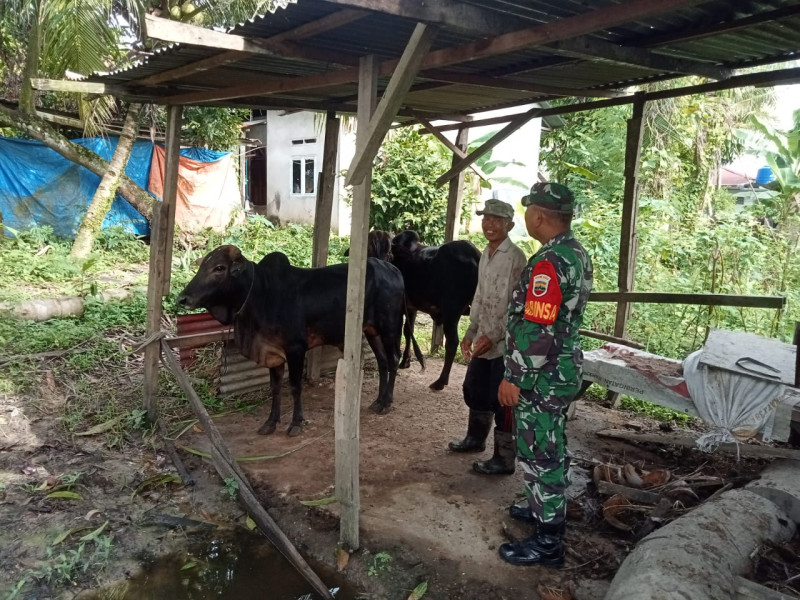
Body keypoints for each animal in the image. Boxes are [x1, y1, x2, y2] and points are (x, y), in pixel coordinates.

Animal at [179, 244, 410, 436]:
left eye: (219, 268)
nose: (183, 298)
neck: (261, 294)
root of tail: (393, 269)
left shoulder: (296, 349)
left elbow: (295, 386)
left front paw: (296, 423)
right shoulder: (272, 352)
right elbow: (275, 387)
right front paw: (270, 423)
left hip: (390, 327)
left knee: (393, 359)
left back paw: (387, 402)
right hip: (372, 330)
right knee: (382, 361)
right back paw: (378, 401)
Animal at [382, 229, 482, 390]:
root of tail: (476, 257)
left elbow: (400, 331)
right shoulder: (411, 307)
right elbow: (408, 331)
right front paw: (406, 361)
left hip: (451, 311)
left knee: (452, 343)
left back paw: (440, 381)